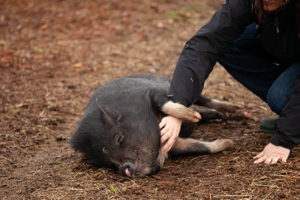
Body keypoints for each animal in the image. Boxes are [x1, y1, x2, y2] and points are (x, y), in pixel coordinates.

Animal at [71, 74, 243, 177]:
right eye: (109, 163)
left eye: (119, 138)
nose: (125, 169)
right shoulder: (175, 144)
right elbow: (200, 147)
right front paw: (228, 142)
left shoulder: (153, 93)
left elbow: (166, 104)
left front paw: (191, 115)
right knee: (206, 111)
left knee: (205, 99)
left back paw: (237, 111)